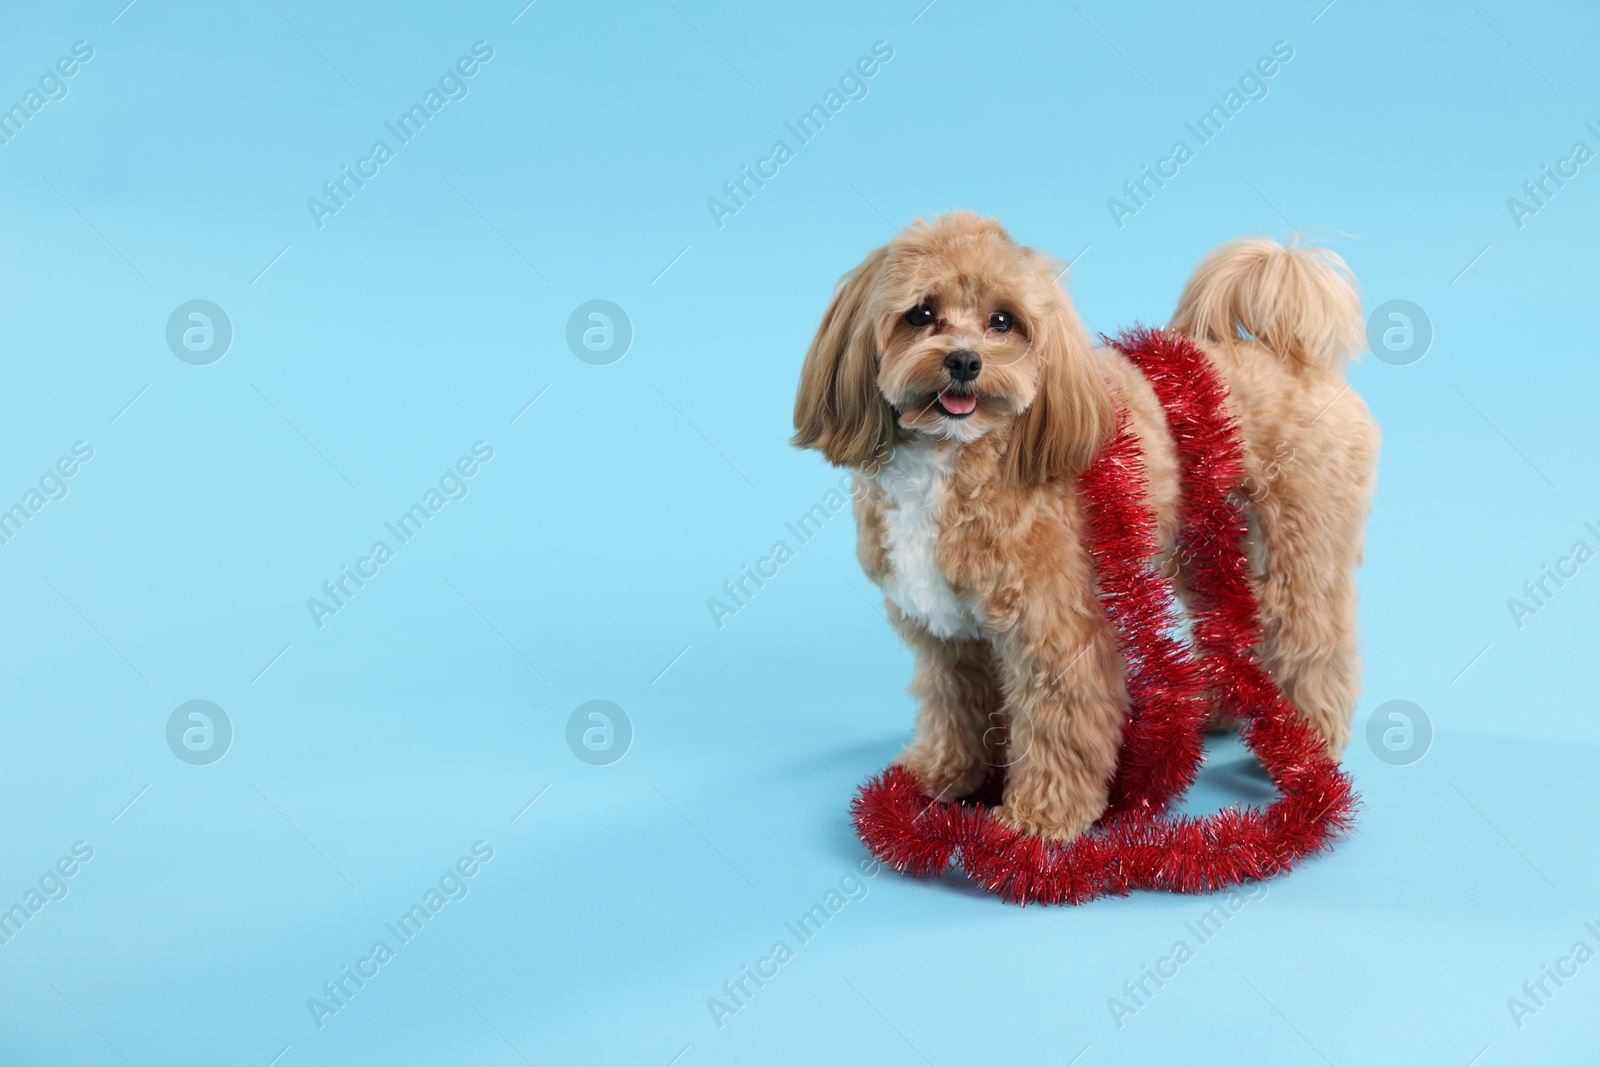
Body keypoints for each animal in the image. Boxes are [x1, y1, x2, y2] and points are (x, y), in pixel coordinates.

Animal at [793, 211, 1382, 844]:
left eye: (1003, 321)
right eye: (921, 314)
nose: (965, 361)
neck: (953, 456)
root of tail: (1288, 355)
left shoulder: (1055, 629)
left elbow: (1059, 724)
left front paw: (1039, 818)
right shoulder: (947, 636)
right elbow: (955, 706)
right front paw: (944, 774)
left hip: (1297, 542)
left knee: (1312, 634)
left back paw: (1309, 739)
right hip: (1208, 545)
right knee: (1230, 626)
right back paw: (1223, 706)